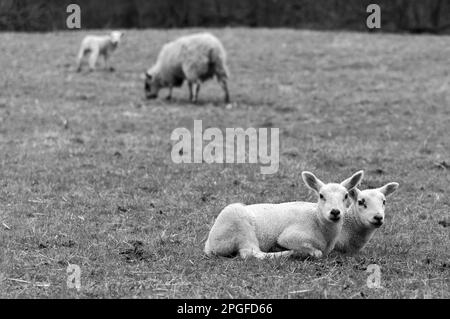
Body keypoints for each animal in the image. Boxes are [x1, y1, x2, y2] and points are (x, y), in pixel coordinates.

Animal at [206, 170, 364, 260]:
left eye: (345, 196)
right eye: (321, 195)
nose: (335, 212)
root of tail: (209, 245)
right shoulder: (291, 236)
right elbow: (317, 253)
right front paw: (303, 252)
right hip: (238, 224)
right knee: (250, 253)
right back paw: (287, 253)